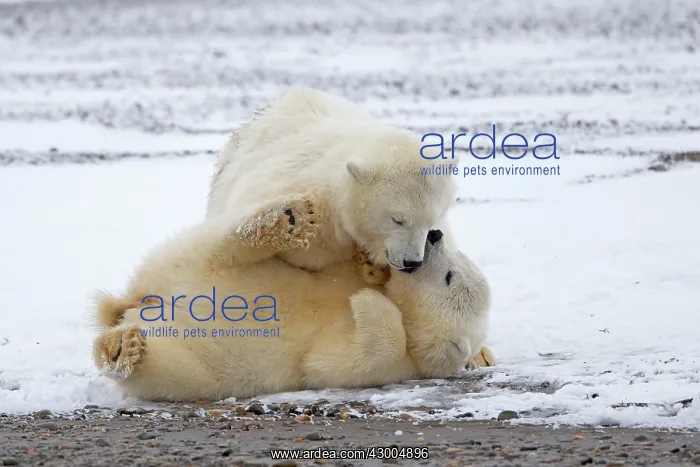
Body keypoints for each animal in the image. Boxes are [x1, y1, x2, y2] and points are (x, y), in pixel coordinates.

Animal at [92, 195, 494, 402]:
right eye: (457, 260)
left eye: (449, 275)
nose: (436, 235)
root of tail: (142, 302)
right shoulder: (334, 275)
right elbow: (345, 270)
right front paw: (370, 273)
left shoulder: (397, 367)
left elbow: (334, 361)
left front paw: (366, 301)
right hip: (187, 260)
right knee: (223, 244)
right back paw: (285, 222)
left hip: (191, 359)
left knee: (163, 367)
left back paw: (123, 349)